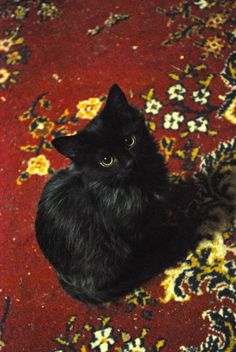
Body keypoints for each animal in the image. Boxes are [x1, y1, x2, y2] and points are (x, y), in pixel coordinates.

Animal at [35, 84, 191, 304]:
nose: (129, 162)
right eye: (106, 160)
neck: (137, 183)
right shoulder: (132, 228)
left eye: (129, 141)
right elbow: (150, 237)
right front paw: (169, 232)